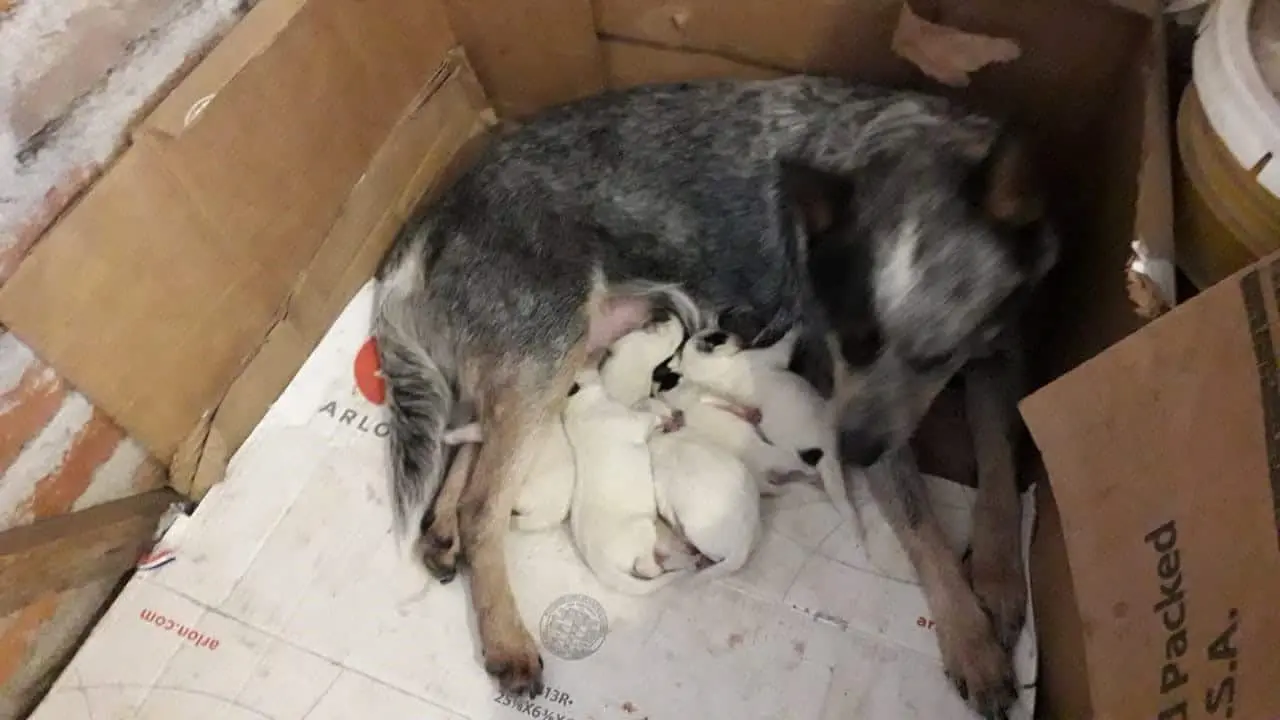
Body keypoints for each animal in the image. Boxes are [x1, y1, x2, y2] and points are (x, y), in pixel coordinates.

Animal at [565, 366, 696, 591]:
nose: (591, 365)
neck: (580, 409)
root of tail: (601, 565)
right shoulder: (634, 421)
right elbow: (649, 417)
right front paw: (663, 418)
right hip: (643, 529)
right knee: (647, 569)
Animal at [675, 325, 865, 532]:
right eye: (720, 336)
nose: (737, 335)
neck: (705, 372)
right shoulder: (771, 355)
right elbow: (787, 341)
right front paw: (796, 326)